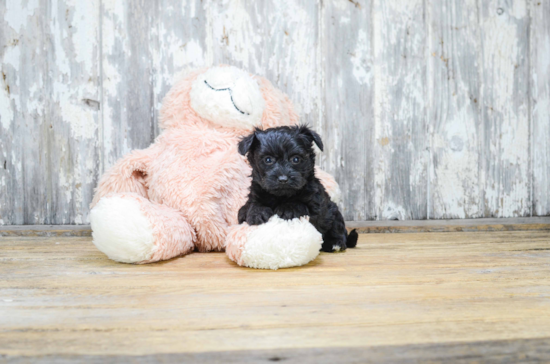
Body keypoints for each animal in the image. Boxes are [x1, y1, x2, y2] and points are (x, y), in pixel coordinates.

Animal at [236, 123, 358, 252]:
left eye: (296, 159)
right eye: (268, 159)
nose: (283, 179)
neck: (281, 196)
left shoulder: (316, 206)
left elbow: (301, 205)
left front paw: (288, 208)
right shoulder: (254, 195)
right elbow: (250, 206)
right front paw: (257, 213)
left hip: (333, 211)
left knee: (337, 229)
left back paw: (335, 243)